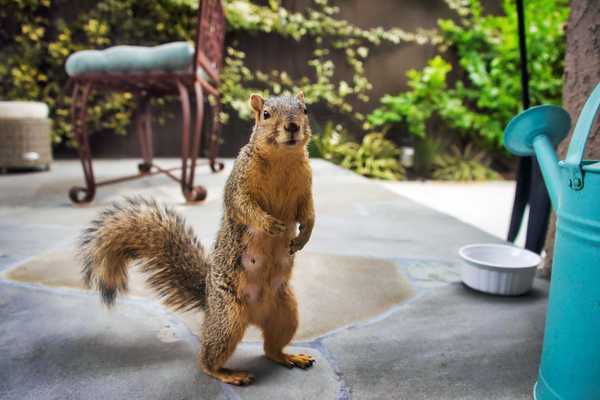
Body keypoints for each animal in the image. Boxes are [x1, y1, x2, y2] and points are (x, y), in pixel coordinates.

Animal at [78, 92, 318, 386]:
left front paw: (304, 236)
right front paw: (268, 223)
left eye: (305, 110)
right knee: (206, 359)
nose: (293, 126)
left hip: (285, 311)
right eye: (266, 114)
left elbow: (308, 212)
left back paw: (289, 356)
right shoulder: (239, 183)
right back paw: (228, 374)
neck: (283, 159)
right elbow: (243, 206)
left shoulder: (305, 186)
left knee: (271, 348)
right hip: (228, 319)